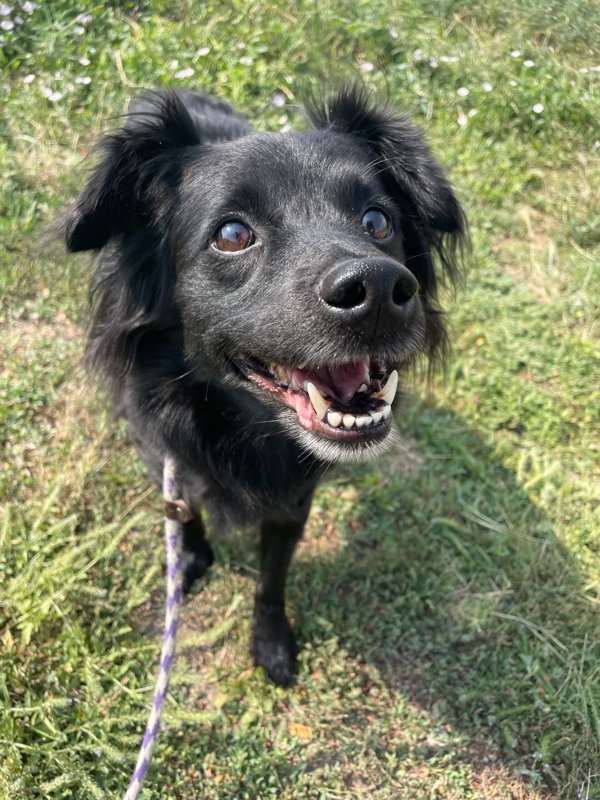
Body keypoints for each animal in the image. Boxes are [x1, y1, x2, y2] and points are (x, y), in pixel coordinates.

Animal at [63, 87, 464, 688]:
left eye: (377, 221)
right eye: (232, 235)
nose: (377, 288)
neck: (241, 423)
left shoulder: (293, 501)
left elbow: (271, 580)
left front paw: (271, 642)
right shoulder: (160, 452)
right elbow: (182, 508)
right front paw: (189, 558)